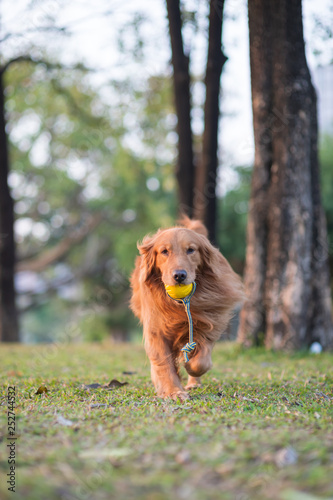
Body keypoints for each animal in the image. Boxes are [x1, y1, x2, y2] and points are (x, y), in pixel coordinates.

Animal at [130, 217, 244, 400]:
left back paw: (193, 382)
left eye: (191, 250)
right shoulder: (156, 330)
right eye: (164, 251)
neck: (178, 305)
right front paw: (173, 391)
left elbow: (201, 360)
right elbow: (164, 364)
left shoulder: (208, 322)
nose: (179, 275)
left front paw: (189, 367)